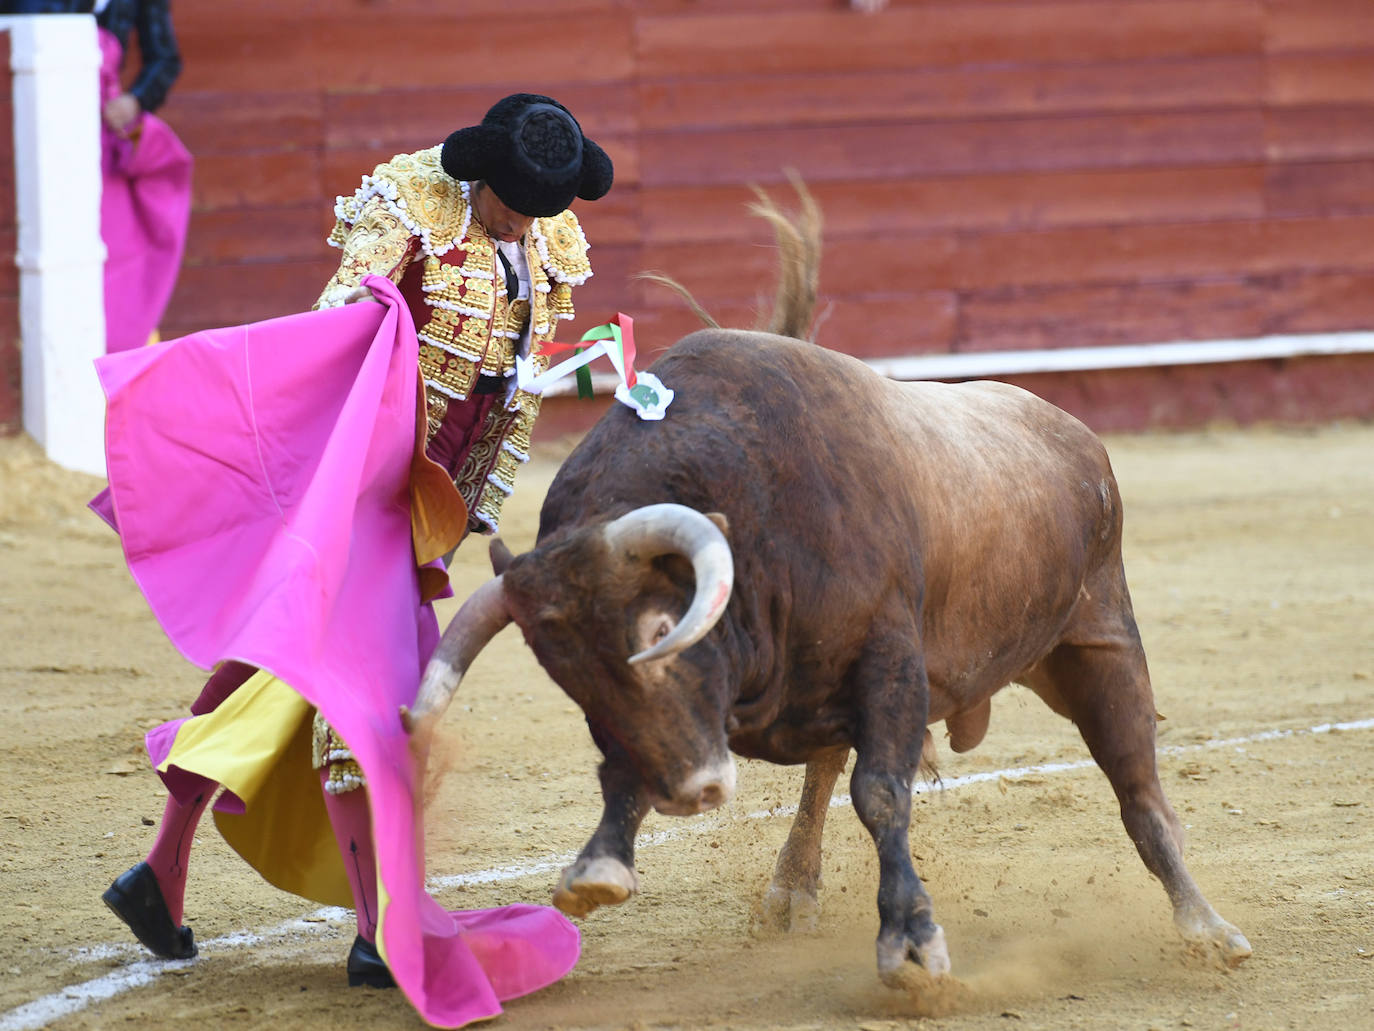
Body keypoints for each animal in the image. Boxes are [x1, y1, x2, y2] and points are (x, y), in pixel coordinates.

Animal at [401, 189, 1253, 989]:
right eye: (570, 677)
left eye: (661, 632)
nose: (694, 790)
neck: (749, 515)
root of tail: (1069, 430)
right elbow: (637, 762)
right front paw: (601, 865)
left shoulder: (891, 659)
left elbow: (881, 793)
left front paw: (911, 942)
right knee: (821, 772)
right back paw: (792, 888)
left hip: (1099, 640)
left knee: (1138, 787)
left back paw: (1209, 927)